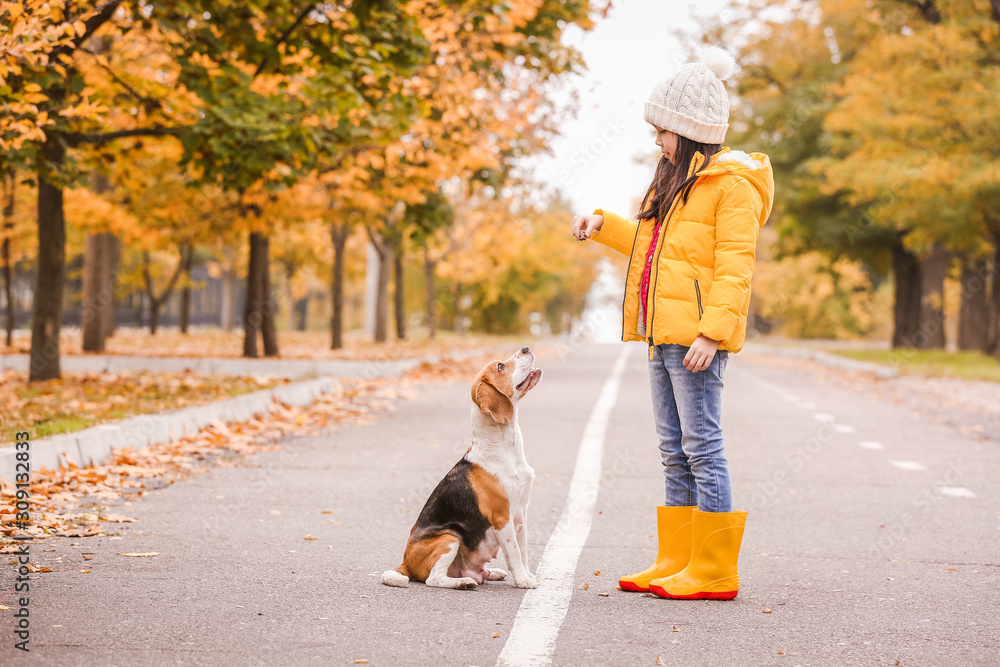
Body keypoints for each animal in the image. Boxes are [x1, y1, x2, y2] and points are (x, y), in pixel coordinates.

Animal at [382, 348, 544, 592]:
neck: (504, 446)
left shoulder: (520, 516)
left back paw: (492, 573)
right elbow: (515, 552)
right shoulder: (502, 519)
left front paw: (527, 575)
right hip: (450, 538)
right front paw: (523, 581)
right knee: (434, 579)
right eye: (500, 367)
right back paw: (463, 582)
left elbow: (523, 552)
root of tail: (406, 562)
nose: (525, 348)